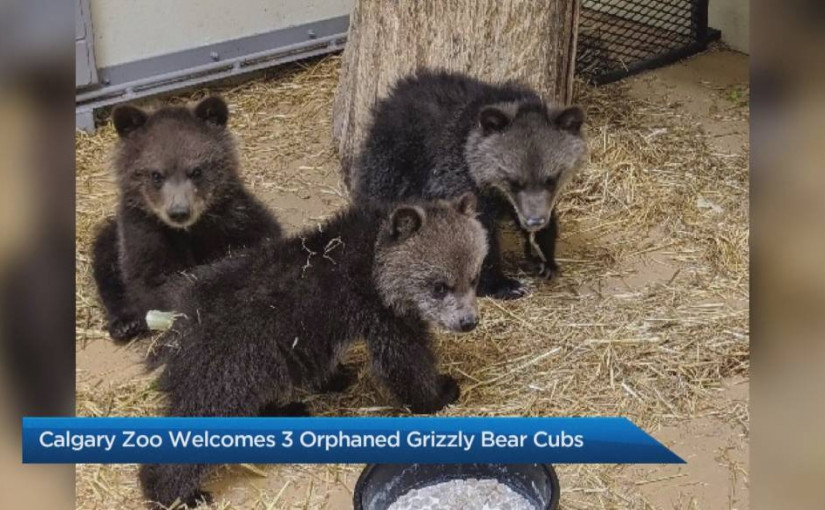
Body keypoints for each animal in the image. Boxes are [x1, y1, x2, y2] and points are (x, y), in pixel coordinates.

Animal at [91, 96, 282, 342]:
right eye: (156, 174)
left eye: (196, 170)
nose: (179, 212)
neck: (189, 231)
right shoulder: (143, 232)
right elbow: (152, 280)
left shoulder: (235, 216)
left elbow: (261, 238)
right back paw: (125, 323)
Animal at [138, 194, 486, 509]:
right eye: (439, 286)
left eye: (473, 277)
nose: (468, 321)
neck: (375, 262)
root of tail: (184, 316)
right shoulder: (383, 314)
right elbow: (406, 362)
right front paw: (440, 392)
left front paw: (338, 376)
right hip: (226, 367)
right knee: (201, 413)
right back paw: (174, 493)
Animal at [347, 69, 588, 300]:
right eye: (513, 180)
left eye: (552, 178)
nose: (535, 221)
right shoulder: (458, 183)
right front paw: (502, 284)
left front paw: (545, 256)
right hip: (394, 163)